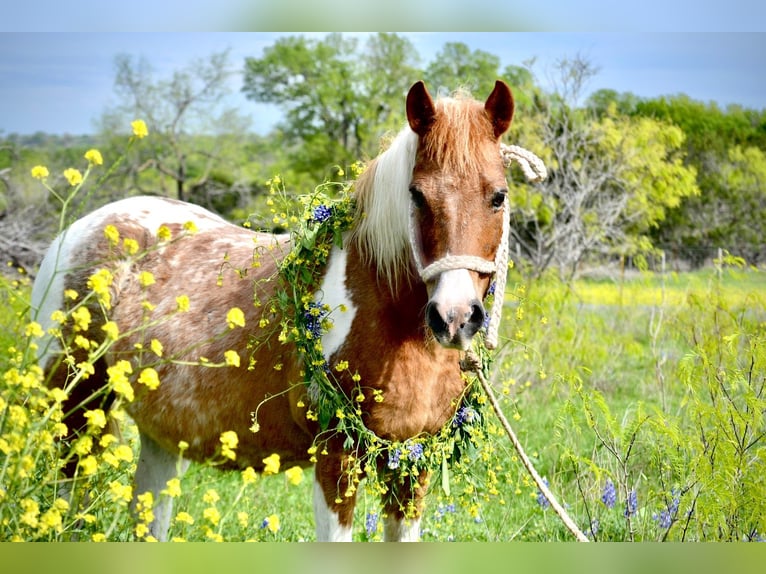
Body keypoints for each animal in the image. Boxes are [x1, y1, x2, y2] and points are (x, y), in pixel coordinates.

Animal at [33, 81, 520, 544]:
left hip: (159, 437)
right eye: (416, 195)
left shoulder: (413, 460)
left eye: (498, 196)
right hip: (72, 411)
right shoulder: (336, 455)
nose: (454, 318)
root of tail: (77, 230)